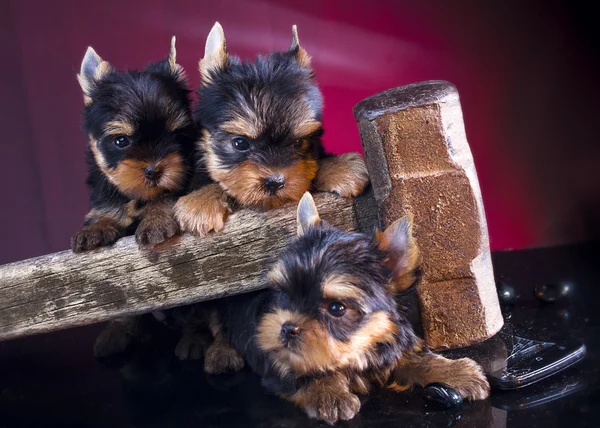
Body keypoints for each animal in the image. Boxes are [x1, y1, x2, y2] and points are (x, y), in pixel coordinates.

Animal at [71, 36, 196, 252]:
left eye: (176, 136)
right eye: (121, 141)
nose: (154, 171)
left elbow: (167, 196)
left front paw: (156, 220)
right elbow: (107, 208)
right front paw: (98, 226)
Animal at [214, 194, 488, 424]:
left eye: (337, 308)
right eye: (283, 294)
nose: (287, 328)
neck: (357, 348)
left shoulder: (389, 339)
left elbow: (413, 356)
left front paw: (455, 372)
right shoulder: (279, 358)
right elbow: (302, 367)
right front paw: (328, 392)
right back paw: (221, 354)